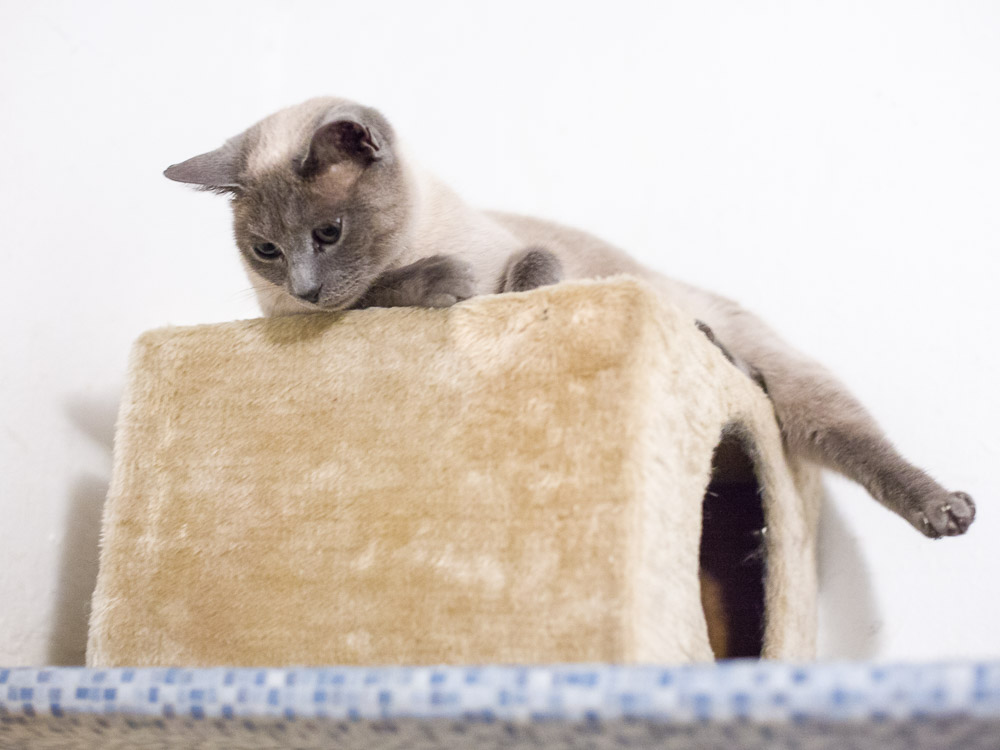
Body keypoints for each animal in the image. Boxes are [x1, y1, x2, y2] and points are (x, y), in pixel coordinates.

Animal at [166, 95, 976, 540]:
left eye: (328, 233)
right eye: (267, 250)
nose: (304, 287)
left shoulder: (536, 253)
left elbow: (526, 275)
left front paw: (486, 295)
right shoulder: (314, 310)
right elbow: (386, 290)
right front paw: (445, 285)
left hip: (793, 384)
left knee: (851, 437)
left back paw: (945, 510)